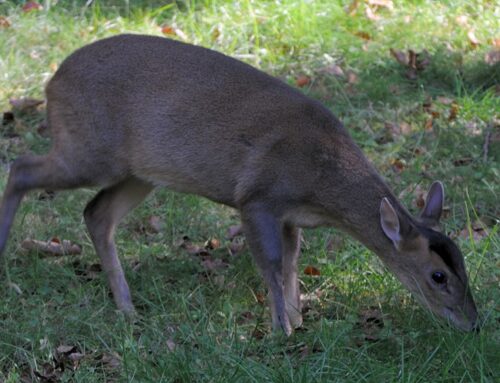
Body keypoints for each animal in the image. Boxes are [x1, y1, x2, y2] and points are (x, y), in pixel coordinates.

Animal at [0, 34, 476, 334]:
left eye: (463, 263)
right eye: (437, 276)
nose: (474, 323)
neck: (322, 180)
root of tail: (51, 80)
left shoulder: (290, 215)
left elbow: (292, 261)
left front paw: (297, 318)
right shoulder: (257, 197)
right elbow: (271, 263)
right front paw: (283, 330)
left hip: (138, 173)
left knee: (96, 213)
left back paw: (127, 308)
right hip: (89, 149)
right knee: (21, 167)